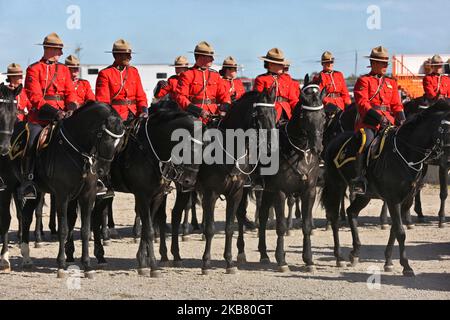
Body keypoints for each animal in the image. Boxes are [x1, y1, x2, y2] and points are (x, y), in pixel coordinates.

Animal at [15, 102, 125, 278]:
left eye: (120, 144)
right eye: (105, 138)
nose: (102, 171)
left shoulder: (88, 196)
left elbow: (86, 230)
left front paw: (87, 265)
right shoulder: (62, 196)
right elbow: (64, 229)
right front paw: (61, 264)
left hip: (37, 191)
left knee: (26, 216)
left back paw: (26, 257)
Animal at [91, 101, 200, 276]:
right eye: (189, 149)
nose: (189, 181)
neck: (151, 150)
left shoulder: (157, 196)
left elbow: (147, 226)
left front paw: (142, 260)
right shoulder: (142, 195)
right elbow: (148, 228)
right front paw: (153, 265)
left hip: (105, 193)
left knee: (95, 216)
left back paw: (100, 256)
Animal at [251, 80, 326, 272]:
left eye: (323, 116)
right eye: (304, 116)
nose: (317, 148)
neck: (299, 152)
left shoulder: (309, 191)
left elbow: (306, 225)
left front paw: (309, 260)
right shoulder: (280, 192)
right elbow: (281, 225)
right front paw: (281, 260)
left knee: (263, 215)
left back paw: (263, 253)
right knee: (263, 217)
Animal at [320, 99, 450, 276]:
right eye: (447, 128)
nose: (447, 161)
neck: (406, 153)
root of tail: (333, 141)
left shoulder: (406, 200)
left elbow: (395, 229)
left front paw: (388, 261)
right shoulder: (393, 199)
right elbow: (400, 232)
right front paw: (406, 266)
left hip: (365, 195)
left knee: (351, 212)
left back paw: (355, 253)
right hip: (336, 185)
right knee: (334, 216)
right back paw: (339, 256)